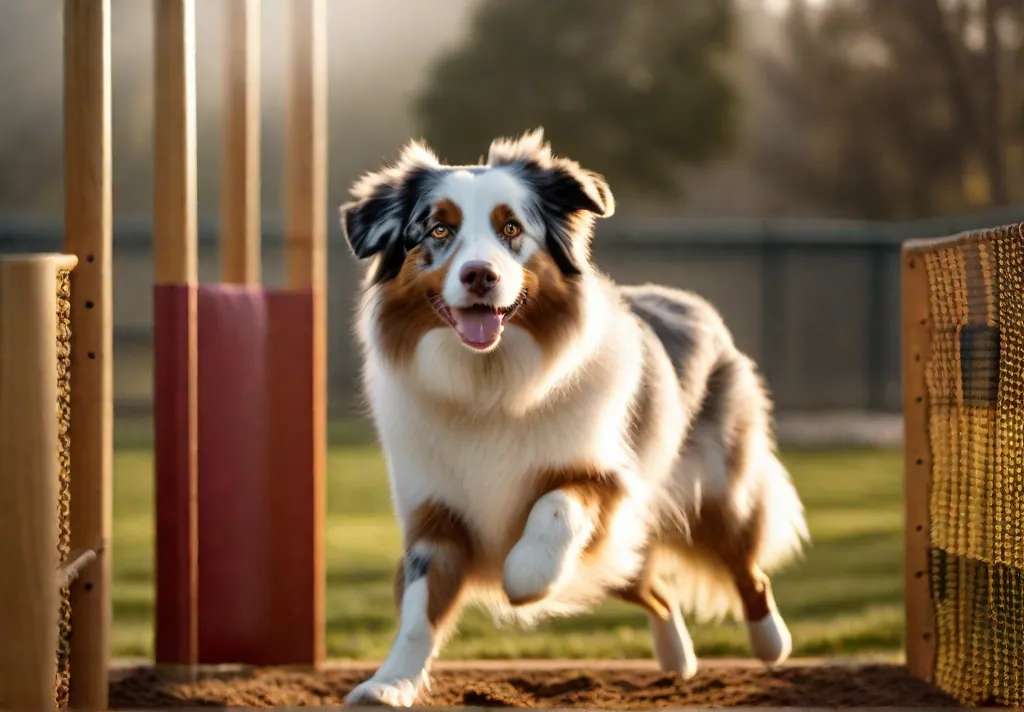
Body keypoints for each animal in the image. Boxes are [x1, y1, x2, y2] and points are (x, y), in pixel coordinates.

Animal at [339, 129, 811, 708]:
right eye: (438, 229)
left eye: (511, 228)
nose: (480, 275)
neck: (489, 385)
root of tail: (690, 303)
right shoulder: (435, 515)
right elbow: (417, 612)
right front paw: (389, 684)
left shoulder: (608, 478)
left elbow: (554, 507)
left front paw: (524, 576)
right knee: (656, 588)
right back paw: (677, 657)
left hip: (717, 495)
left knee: (747, 568)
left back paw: (771, 643)